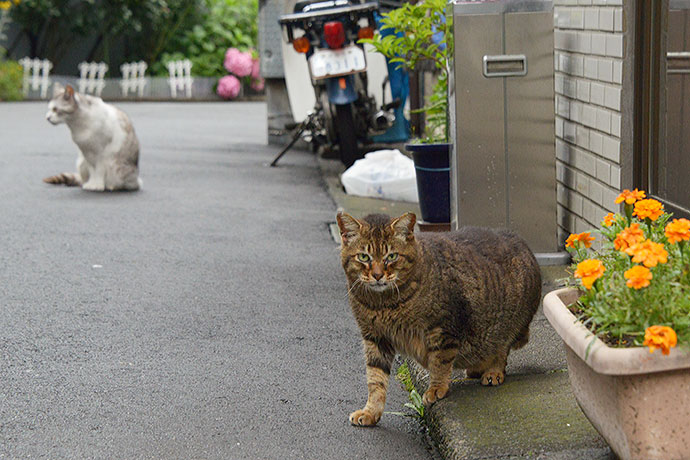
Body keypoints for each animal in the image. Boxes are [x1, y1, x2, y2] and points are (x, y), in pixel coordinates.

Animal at [336, 212, 540, 428]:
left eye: (391, 256)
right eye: (363, 257)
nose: (377, 275)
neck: (383, 304)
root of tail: (521, 241)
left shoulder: (443, 329)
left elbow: (440, 363)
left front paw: (436, 389)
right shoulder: (375, 338)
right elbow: (375, 379)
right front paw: (371, 412)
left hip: (506, 323)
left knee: (501, 349)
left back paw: (493, 371)